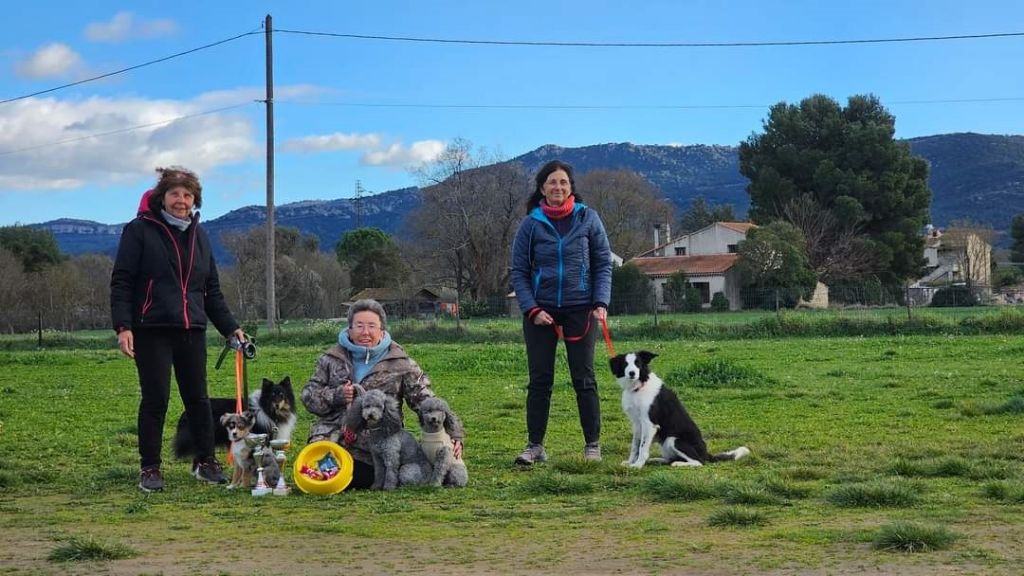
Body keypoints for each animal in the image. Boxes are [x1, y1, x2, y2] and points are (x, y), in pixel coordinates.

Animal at [610, 350, 749, 467]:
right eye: (625, 364)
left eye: (637, 363)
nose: (632, 373)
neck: (639, 387)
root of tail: (707, 454)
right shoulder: (637, 424)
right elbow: (635, 446)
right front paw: (630, 462)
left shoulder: (649, 424)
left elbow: (642, 447)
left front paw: (638, 465)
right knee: (671, 459)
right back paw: (658, 460)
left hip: (673, 440)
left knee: (698, 462)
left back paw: (678, 464)